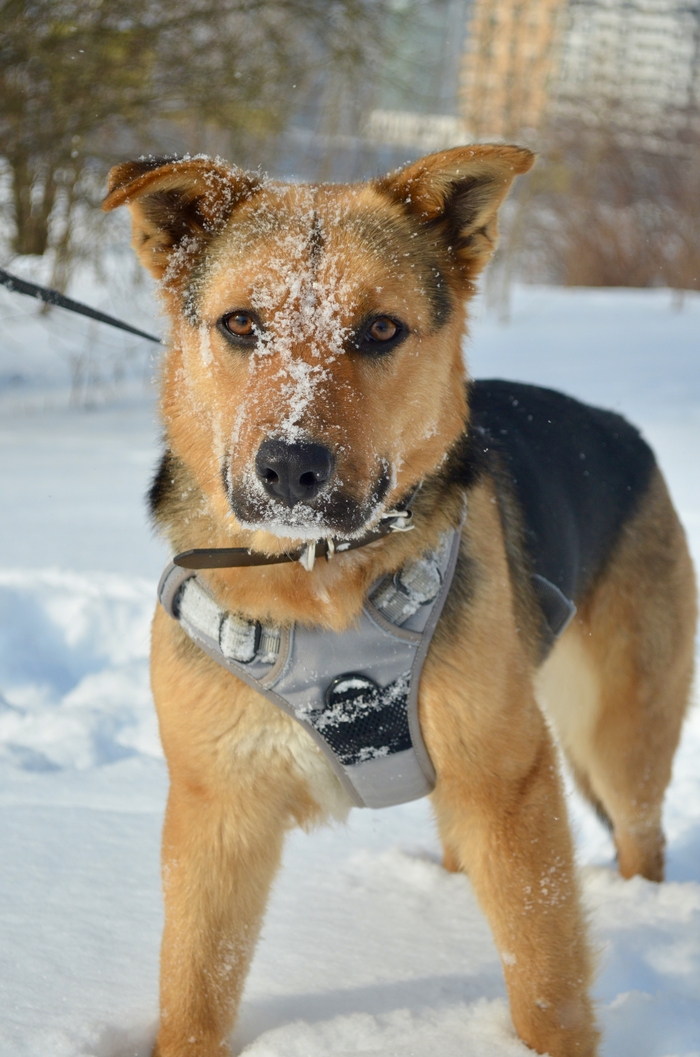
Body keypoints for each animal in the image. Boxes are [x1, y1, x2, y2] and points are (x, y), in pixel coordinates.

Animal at [103, 145, 696, 1057]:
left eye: (380, 330)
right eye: (241, 324)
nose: (292, 467)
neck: (317, 577)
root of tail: (624, 429)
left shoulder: (508, 782)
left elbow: (545, 972)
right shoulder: (218, 813)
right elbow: (196, 988)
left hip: (618, 736)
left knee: (640, 831)